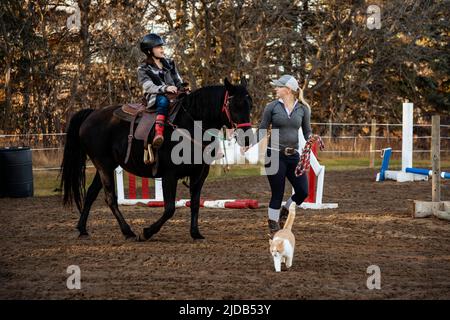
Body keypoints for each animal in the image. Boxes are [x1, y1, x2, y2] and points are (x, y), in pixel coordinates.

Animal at [60, 78, 253, 240]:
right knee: (110, 199)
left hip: (105, 167)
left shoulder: (199, 174)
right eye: (234, 105)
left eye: (249, 104)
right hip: (104, 166)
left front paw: (195, 233)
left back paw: (82, 228)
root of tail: (92, 114)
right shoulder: (169, 175)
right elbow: (169, 209)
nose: (247, 138)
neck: (189, 125)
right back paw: (128, 231)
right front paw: (146, 232)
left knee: (91, 194)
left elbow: (195, 203)